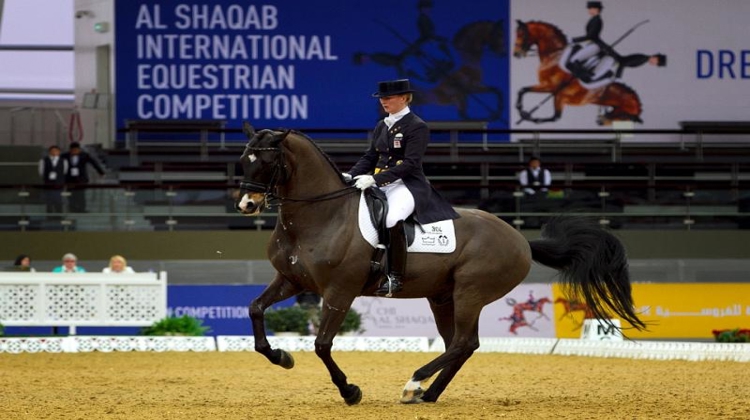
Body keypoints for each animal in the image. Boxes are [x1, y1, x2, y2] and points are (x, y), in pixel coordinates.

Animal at [235, 123, 648, 406]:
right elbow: (255, 309)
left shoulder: (341, 290)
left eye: (267, 161)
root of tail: (520, 239)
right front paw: (282, 356)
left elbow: (322, 344)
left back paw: (413, 385)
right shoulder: (292, 280)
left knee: (464, 342)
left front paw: (350, 390)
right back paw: (428, 393)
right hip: (443, 297)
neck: (322, 214)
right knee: (460, 345)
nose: (246, 206)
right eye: (242, 160)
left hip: (470, 292)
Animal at [516, 20, 648, 124]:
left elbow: (555, 117)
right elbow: (523, 90)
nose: (516, 53)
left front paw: (526, 116)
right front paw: (521, 111)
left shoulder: (555, 92)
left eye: (625, 117)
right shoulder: (552, 89)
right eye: (519, 33)